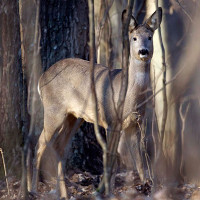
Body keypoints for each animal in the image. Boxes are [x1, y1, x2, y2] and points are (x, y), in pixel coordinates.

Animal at [30, 7, 162, 197]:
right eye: (134, 38)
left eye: (150, 37)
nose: (143, 51)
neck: (129, 96)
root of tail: (41, 78)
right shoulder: (111, 120)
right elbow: (112, 159)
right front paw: (109, 192)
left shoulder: (135, 123)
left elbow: (139, 161)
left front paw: (146, 188)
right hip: (53, 110)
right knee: (40, 144)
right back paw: (33, 189)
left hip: (74, 117)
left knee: (60, 147)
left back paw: (64, 193)